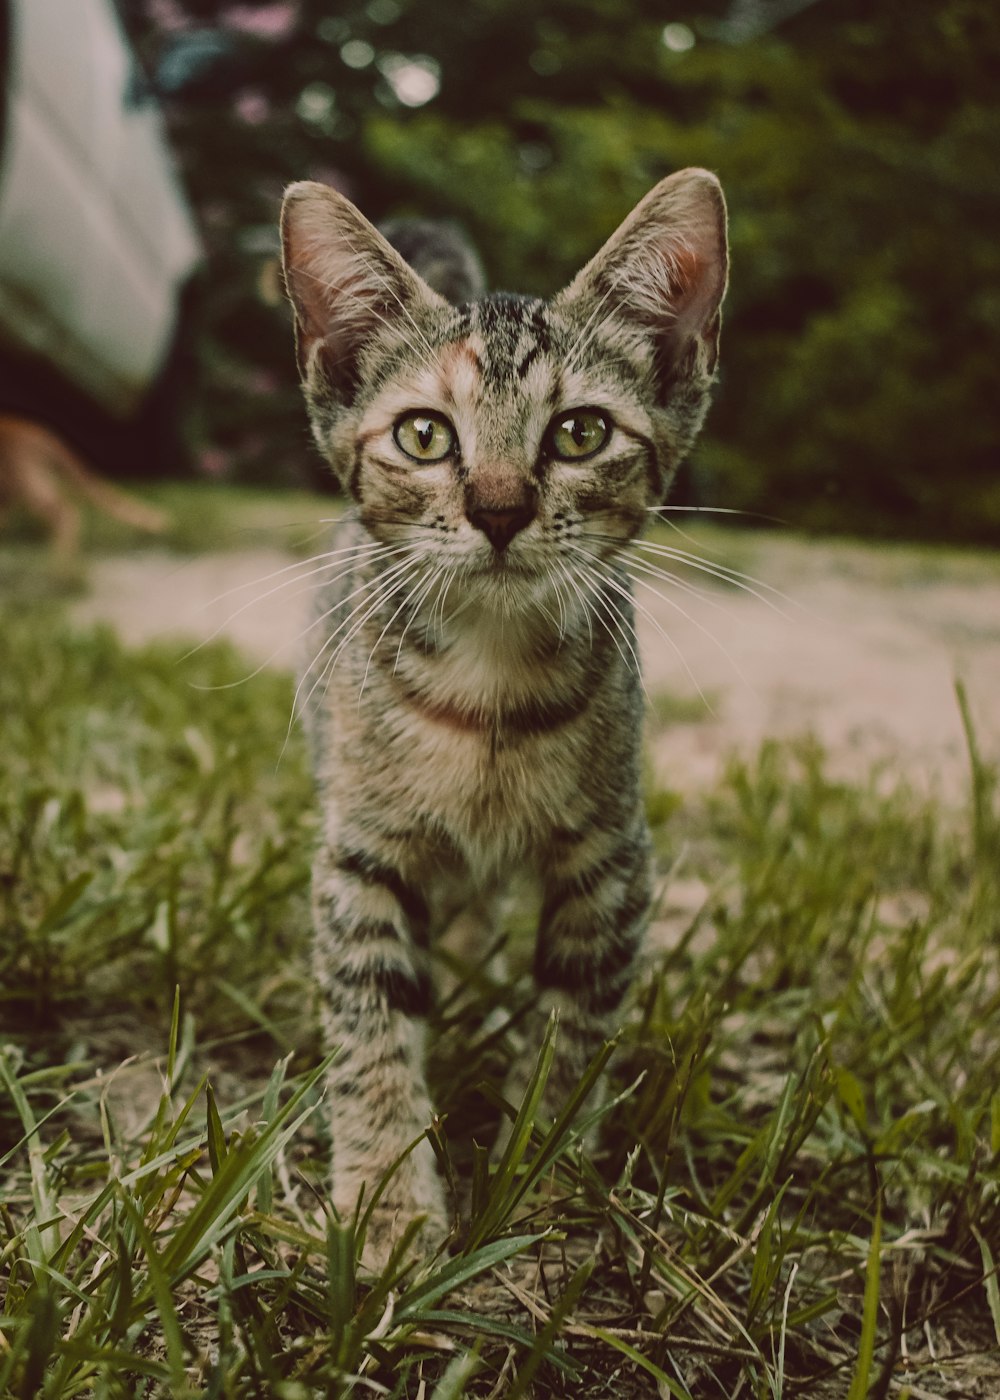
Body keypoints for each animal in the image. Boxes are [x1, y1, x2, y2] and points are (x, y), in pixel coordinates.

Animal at [280, 169, 722, 1265]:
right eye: (424, 434)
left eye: (580, 433)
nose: (497, 508)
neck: (487, 679)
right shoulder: (360, 852)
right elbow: (370, 1024)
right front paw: (387, 1204)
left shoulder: (610, 857)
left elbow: (574, 1030)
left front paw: (542, 1176)